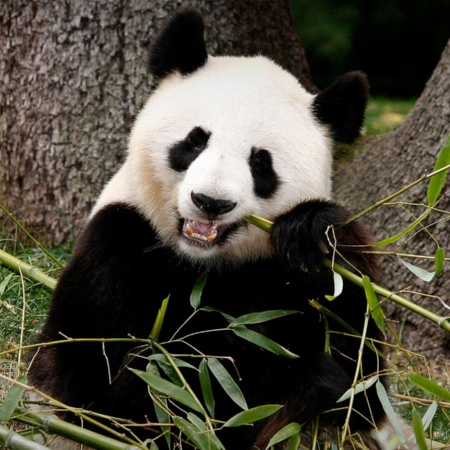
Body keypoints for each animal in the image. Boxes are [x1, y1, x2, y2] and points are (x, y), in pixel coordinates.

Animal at [29, 7, 406, 450]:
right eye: (195, 141)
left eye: (260, 162)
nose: (211, 202)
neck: (205, 262)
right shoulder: (119, 240)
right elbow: (117, 381)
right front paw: (300, 381)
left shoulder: (278, 278)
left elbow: (364, 377)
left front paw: (313, 234)